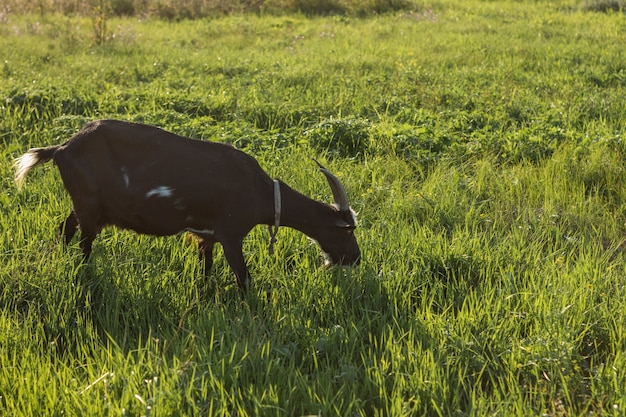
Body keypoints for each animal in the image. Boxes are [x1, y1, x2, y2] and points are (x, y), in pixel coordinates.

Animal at [13, 118, 360, 292]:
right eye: (346, 231)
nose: (356, 259)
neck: (261, 192)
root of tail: (62, 148)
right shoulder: (230, 233)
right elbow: (243, 278)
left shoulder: (208, 236)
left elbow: (206, 271)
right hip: (89, 207)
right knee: (84, 245)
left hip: (87, 206)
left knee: (65, 227)